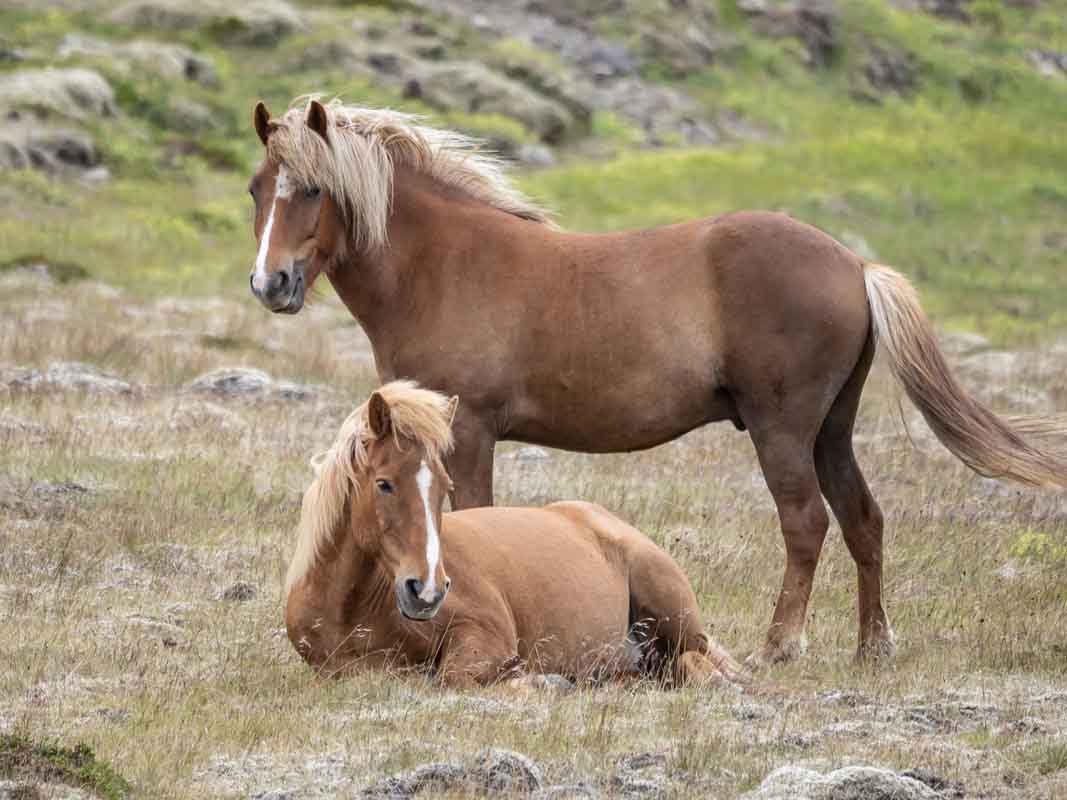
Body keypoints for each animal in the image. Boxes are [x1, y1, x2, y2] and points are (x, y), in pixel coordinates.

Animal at [288, 381, 746, 691]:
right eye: (383, 483)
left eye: (445, 486)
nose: (428, 591)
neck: (354, 607)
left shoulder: (486, 635)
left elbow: (454, 677)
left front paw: (538, 681)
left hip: (675, 617)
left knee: (698, 662)